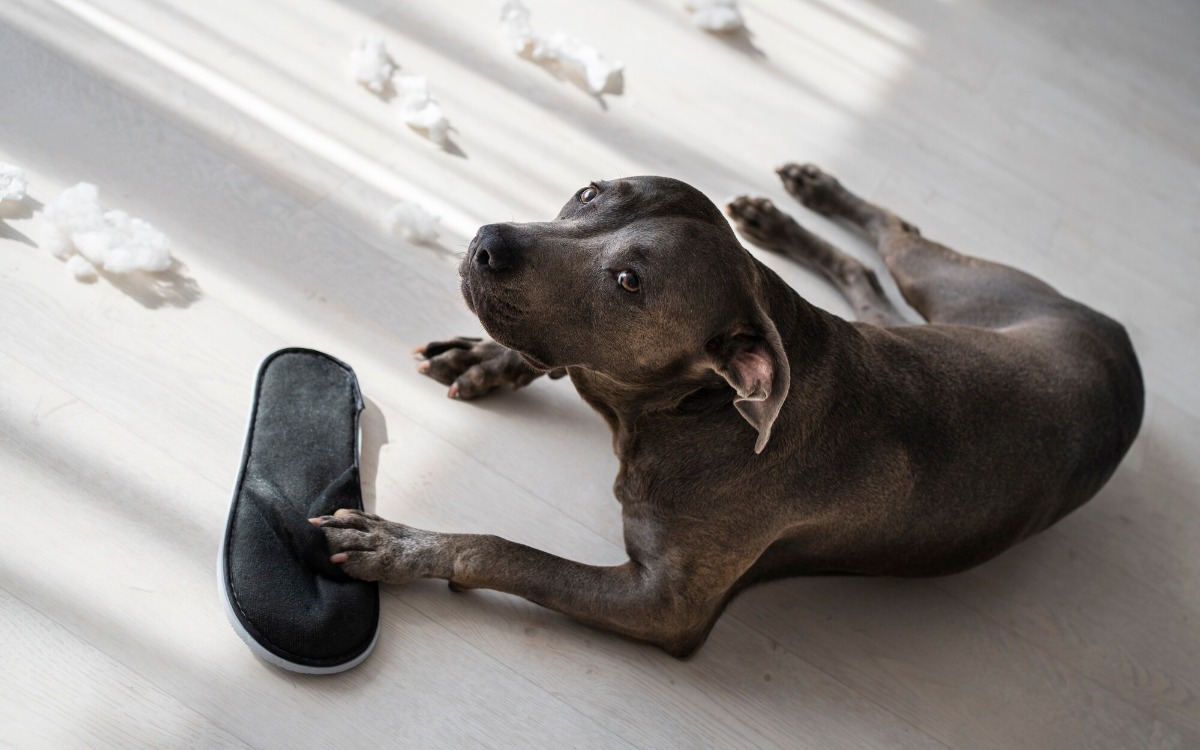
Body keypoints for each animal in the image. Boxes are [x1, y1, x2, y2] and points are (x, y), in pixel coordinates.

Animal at [309, 165, 1142, 652]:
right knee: (868, 271)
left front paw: (402, 546)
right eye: (590, 192)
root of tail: (1123, 346)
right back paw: (794, 212)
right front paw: (492, 359)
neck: (689, 410)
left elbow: (502, 551)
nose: (487, 242)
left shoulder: (662, 605)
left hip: (965, 289)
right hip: (931, 316)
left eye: (630, 282)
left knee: (899, 237)